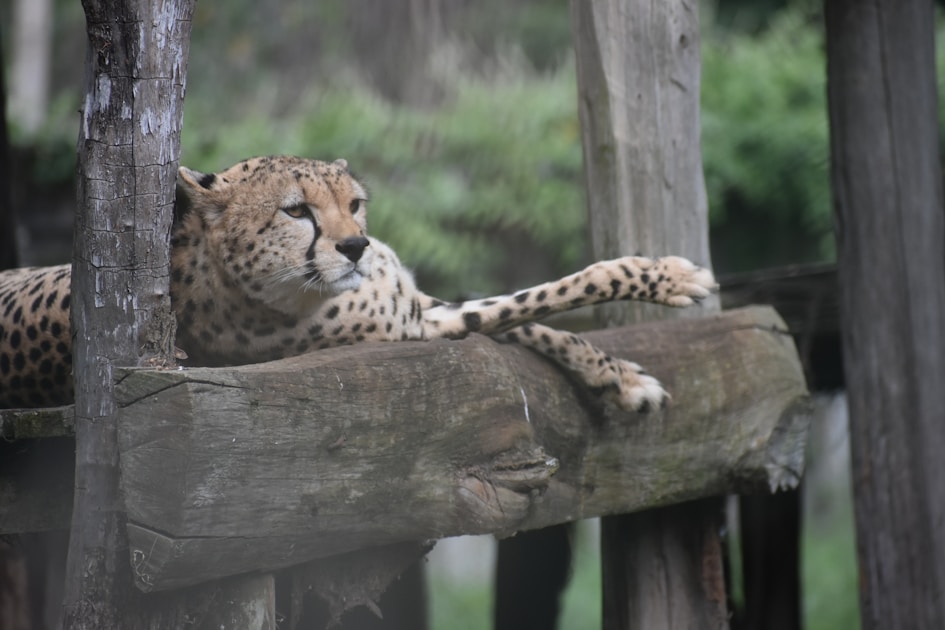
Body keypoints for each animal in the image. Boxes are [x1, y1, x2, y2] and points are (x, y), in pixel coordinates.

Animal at [0, 155, 716, 411]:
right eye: (296, 211)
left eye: (355, 203)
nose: (355, 245)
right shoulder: (418, 323)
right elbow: (549, 294)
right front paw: (673, 277)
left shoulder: (421, 303)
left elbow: (539, 322)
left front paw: (618, 375)